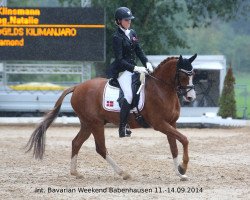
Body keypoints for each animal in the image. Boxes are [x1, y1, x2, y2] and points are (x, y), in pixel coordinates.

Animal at [25, 54, 197, 180]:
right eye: (183, 75)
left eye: (193, 74)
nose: (191, 97)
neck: (161, 89)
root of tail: (77, 87)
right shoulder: (160, 124)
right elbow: (184, 139)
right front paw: (183, 167)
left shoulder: (171, 123)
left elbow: (174, 147)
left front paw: (180, 173)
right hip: (96, 124)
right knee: (100, 148)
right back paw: (123, 173)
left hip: (88, 124)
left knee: (76, 143)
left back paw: (75, 173)